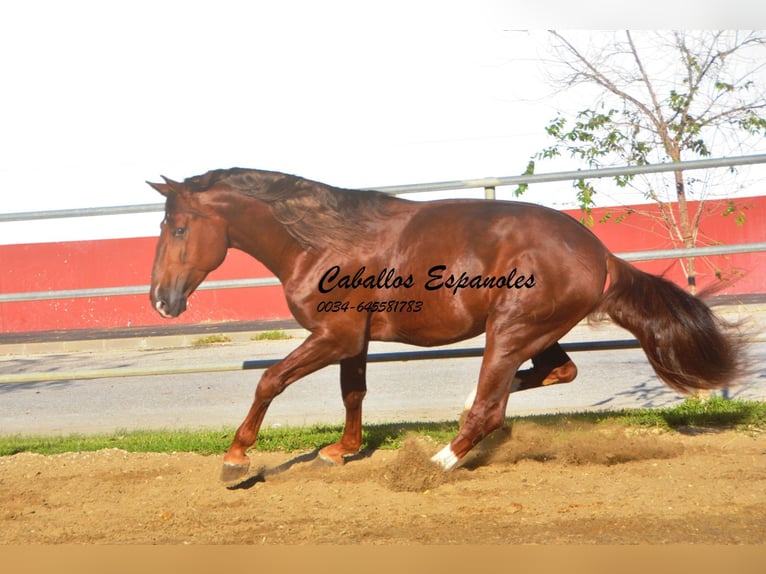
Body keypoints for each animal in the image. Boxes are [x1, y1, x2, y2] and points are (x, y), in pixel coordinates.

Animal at [148, 168, 744, 486]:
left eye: (177, 228)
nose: (162, 301)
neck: (324, 243)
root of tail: (600, 254)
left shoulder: (333, 337)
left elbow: (269, 379)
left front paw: (235, 461)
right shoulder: (351, 340)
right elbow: (353, 392)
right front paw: (342, 450)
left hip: (510, 332)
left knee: (492, 409)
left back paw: (435, 463)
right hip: (535, 333)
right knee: (556, 374)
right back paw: (458, 409)